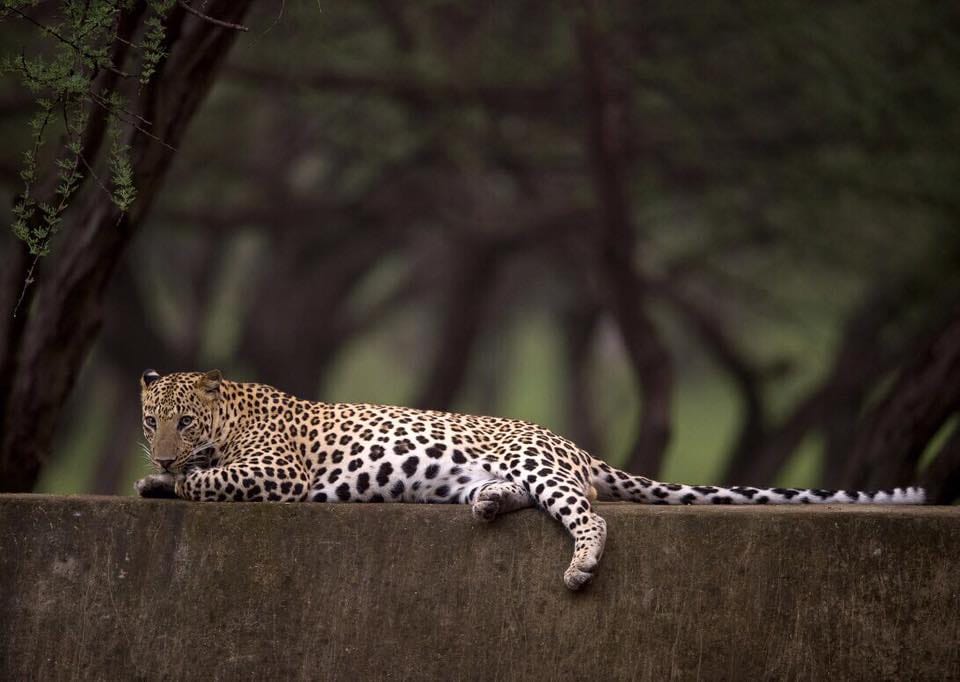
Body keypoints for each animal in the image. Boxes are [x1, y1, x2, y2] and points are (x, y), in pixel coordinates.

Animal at [136, 369, 927, 590]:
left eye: (184, 420)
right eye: (150, 422)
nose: (164, 456)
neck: (228, 413)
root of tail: (568, 442)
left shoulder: (277, 470)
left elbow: (214, 482)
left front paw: (173, 484)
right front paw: (154, 482)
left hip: (540, 468)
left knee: (593, 514)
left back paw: (578, 569)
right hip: (495, 475)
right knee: (532, 501)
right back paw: (487, 503)